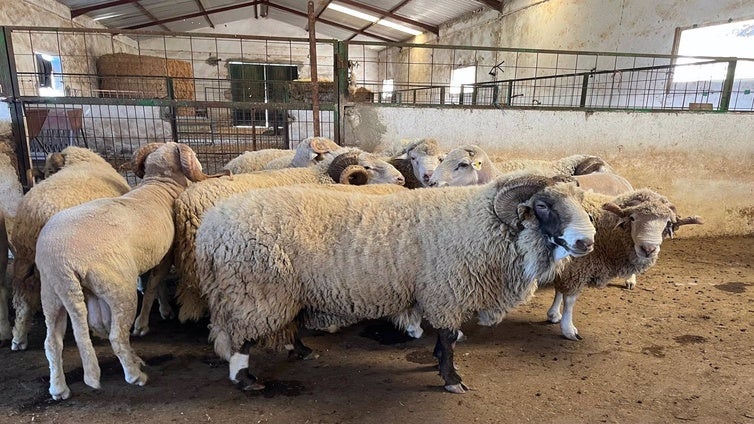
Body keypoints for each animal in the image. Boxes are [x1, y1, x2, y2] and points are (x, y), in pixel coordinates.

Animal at [8, 146, 131, 352]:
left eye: (48, 171)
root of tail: (36, 215)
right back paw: (97, 332)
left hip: (24, 260)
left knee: (23, 296)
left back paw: (19, 337)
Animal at [37, 141, 226, 400]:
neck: (160, 184)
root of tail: (62, 260)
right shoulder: (165, 257)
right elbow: (153, 285)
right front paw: (146, 322)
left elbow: (153, 285)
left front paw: (163, 309)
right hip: (118, 288)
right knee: (117, 336)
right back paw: (135, 374)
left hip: (52, 293)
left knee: (53, 342)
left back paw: (59, 388)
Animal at [194, 172, 592, 394]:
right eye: (542, 205)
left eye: (580, 200)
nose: (586, 242)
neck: (481, 224)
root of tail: (209, 229)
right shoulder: (446, 292)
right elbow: (449, 338)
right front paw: (451, 379)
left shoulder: (438, 294)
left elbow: (443, 338)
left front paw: (436, 362)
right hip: (255, 291)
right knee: (242, 338)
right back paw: (245, 380)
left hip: (283, 290)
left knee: (287, 324)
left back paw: (302, 351)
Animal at [544, 183, 704, 342]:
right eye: (632, 218)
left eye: (668, 222)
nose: (648, 249)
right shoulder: (576, 267)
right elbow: (570, 300)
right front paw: (569, 329)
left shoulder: (566, 268)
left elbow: (559, 290)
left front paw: (554, 313)